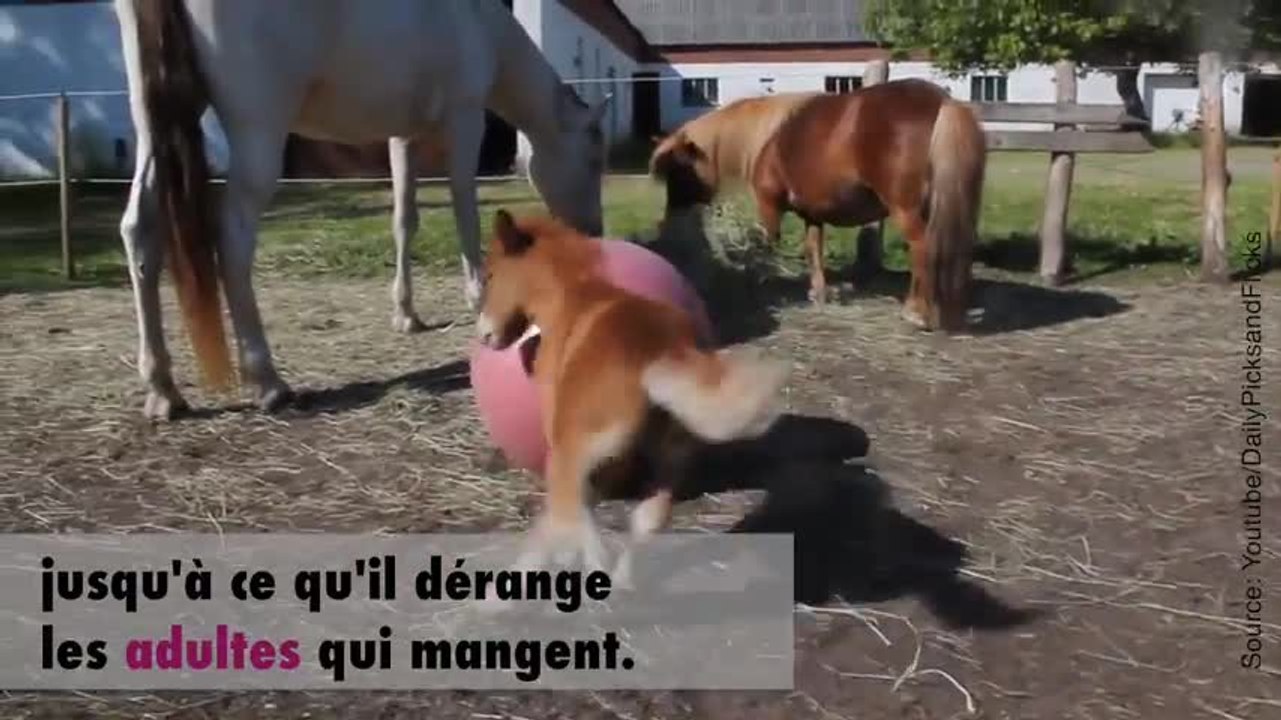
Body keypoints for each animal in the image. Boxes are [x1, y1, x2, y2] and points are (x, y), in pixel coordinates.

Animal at [114, 0, 609, 419]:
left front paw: (406, 314)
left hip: (156, 123)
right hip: (258, 132)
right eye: (593, 157)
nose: (594, 232)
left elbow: (404, 220)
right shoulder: (464, 120)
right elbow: (464, 210)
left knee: (140, 231)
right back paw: (268, 381)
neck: (477, 21)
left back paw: (163, 390)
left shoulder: (403, 136)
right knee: (233, 238)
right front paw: (476, 296)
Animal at [475, 208, 788, 580]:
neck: (572, 294)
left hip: (570, 457)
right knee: (646, 519)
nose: (483, 335)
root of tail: (656, 352)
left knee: (575, 522)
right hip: (669, 461)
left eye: (490, 275)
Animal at [650, 78, 986, 332]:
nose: (669, 217)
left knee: (922, 250)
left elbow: (765, 244)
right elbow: (814, 249)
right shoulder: (812, 215)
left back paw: (916, 312)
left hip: (907, 211)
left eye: (678, 170)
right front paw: (819, 292)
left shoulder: (769, 205)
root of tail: (942, 102)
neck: (767, 137)